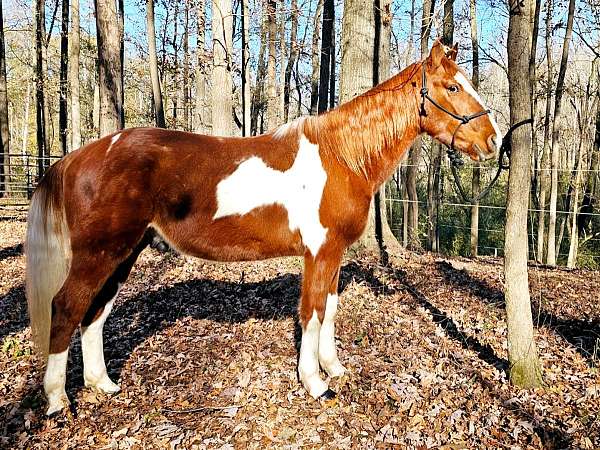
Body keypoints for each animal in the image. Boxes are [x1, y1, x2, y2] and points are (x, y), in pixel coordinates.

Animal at [25, 40, 500, 416]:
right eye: (453, 87)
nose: (493, 140)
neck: (341, 155)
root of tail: (79, 156)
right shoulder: (319, 253)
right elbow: (312, 313)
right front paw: (315, 382)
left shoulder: (334, 254)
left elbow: (330, 310)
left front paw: (334, 368)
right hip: (100, 252)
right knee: (66, 308)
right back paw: (57, 400)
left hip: (125, 251)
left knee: (95, 312)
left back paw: (102, 384)